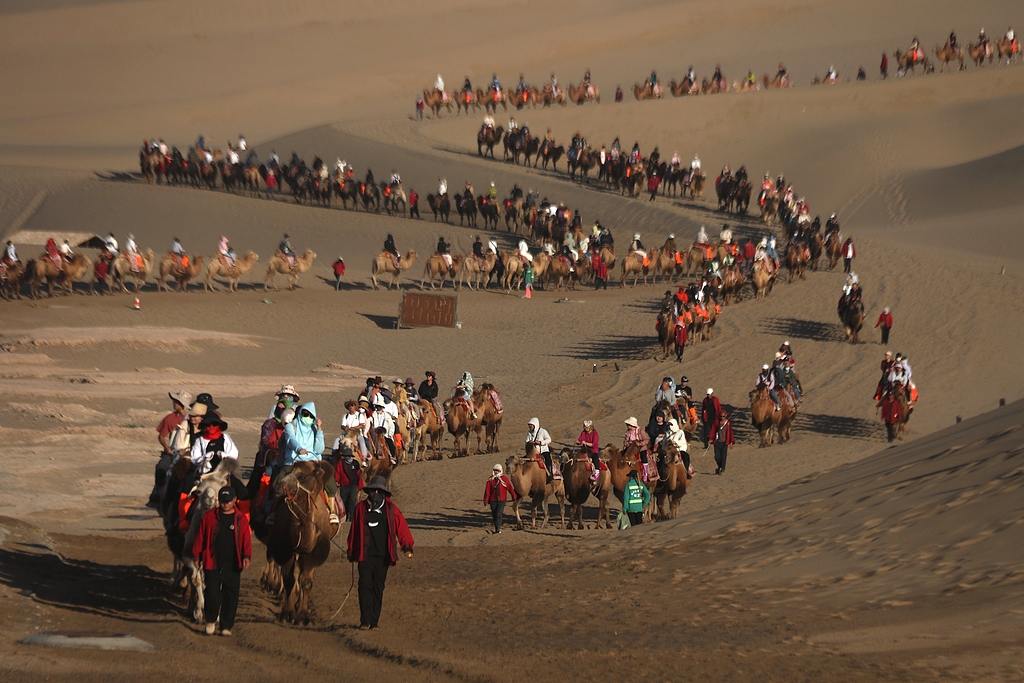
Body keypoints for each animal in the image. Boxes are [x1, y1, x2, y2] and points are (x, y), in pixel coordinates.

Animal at [264, 462, 335, 622]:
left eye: (302, 476)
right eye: (290, 471)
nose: (280, 486)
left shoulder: (313, 551)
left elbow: (306, 582)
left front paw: (302, 615)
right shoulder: (286, 548)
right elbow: (289, 579)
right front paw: (287, 613)